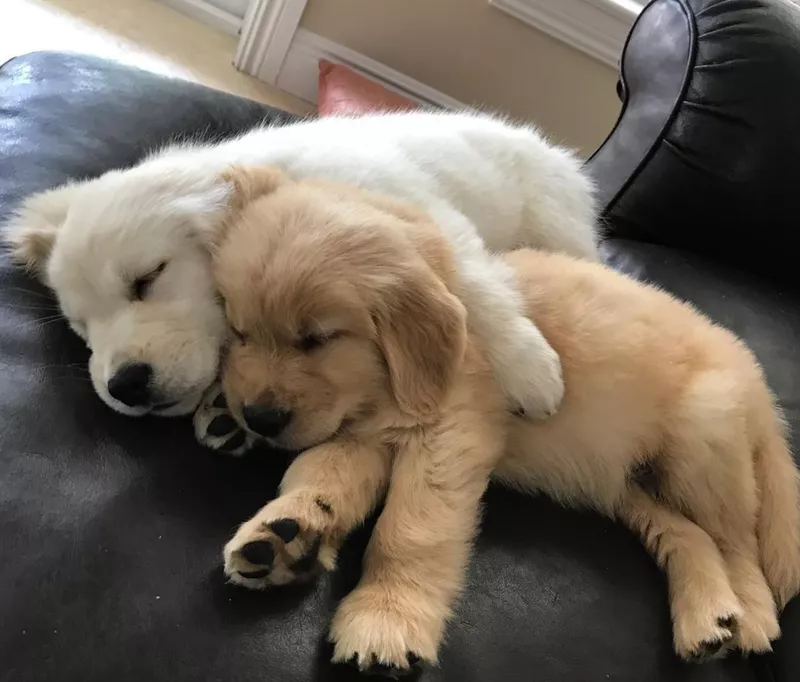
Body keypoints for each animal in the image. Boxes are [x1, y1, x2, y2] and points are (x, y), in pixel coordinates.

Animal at [212, 166, 800, 676]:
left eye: (317, 339)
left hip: (702, 439)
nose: (258, 419)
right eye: (238, 332)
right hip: (629, 484)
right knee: (688, 533)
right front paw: (285, 532)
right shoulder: (365, 435)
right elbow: (321, 473)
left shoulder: (450, 433)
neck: (383, 389)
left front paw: (385, 620)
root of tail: (759, 385)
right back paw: (708, 618)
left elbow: (410, 528)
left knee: (738, 541)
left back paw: (752, 614)